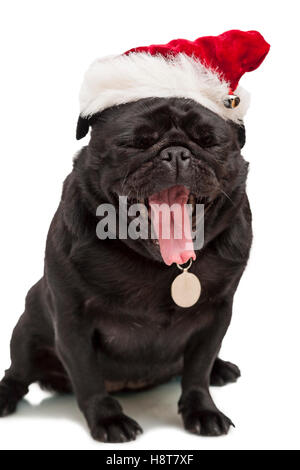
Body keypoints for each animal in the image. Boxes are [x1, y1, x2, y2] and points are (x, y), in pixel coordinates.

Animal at [0, 97, 251, 442]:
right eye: (135, 143)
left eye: (208, 141)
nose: (175, 153)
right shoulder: (73, 321)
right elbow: (88, 377)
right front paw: (108, 419)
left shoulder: (216, 316)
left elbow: (198, 370)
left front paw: (202, 410)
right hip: (26, 332)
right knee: (17, 374)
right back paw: (3, 395)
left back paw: (220, 368)